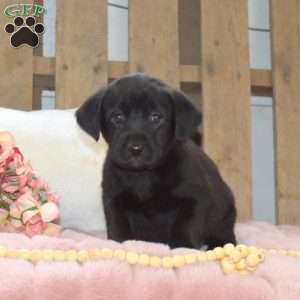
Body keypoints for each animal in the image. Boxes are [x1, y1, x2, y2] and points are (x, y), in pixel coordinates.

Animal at [76, 74, 236, 250]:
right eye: (117, 117)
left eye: (156, 117)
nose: (136, 148)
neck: (143, 176)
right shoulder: (113, 199)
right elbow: (118, 227)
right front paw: (120, 244)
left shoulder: (195, 199)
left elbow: (185, 225)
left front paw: (182, 247)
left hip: (223, 216)